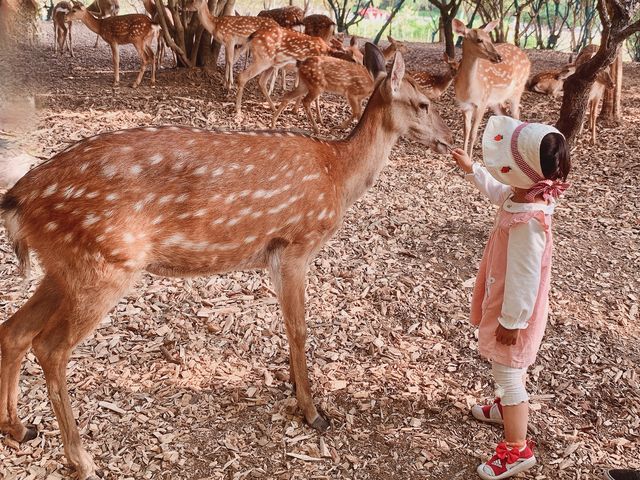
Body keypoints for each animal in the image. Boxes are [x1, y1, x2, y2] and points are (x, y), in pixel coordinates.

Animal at [0, 42, 452, 480]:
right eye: (423, 103)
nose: (448, 142)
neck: (338, 175)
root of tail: (18, 198)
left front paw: (296, 392)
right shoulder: (295, 245)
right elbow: (298, 330)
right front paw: (312, 412)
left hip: (65, 265)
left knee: (15, 330)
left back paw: (20, 429)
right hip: (104, 262)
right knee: (49, 346)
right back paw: (81, 459)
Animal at [452, 18, 532, 154]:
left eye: (490, 38)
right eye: (479, 39)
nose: (499, 57)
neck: (469, 91)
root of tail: (527, 58)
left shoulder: (482, 103)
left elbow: (473, 133)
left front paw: (469, 158)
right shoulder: (464, 106)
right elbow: (466, 133)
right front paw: (462, 156)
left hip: (518, 89)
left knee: (516, 114)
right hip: (495, 102)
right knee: (506, 115)